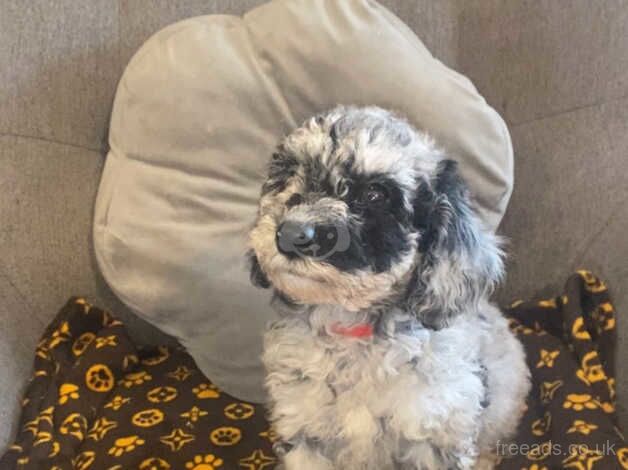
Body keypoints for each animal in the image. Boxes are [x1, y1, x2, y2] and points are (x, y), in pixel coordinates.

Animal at [247, 107, 528, 470]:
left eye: (374, 195)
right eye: (289, 174)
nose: (291, 234)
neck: (353, 331)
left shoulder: (434, 431)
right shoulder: (306, 431)